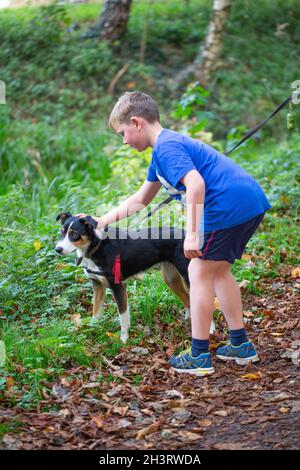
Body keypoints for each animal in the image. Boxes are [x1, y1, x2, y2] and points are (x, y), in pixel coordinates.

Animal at [54, 213, 191, 342]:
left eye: (74, 234)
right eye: (62, 232)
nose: (57, 249)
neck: (97, 247)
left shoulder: (117, 286)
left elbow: (122, 315)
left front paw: (124, 338)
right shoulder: (98, 285)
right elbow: (96, 311)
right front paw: (93, 327)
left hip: (187, 276)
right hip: (171, 279)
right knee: (188, 300)